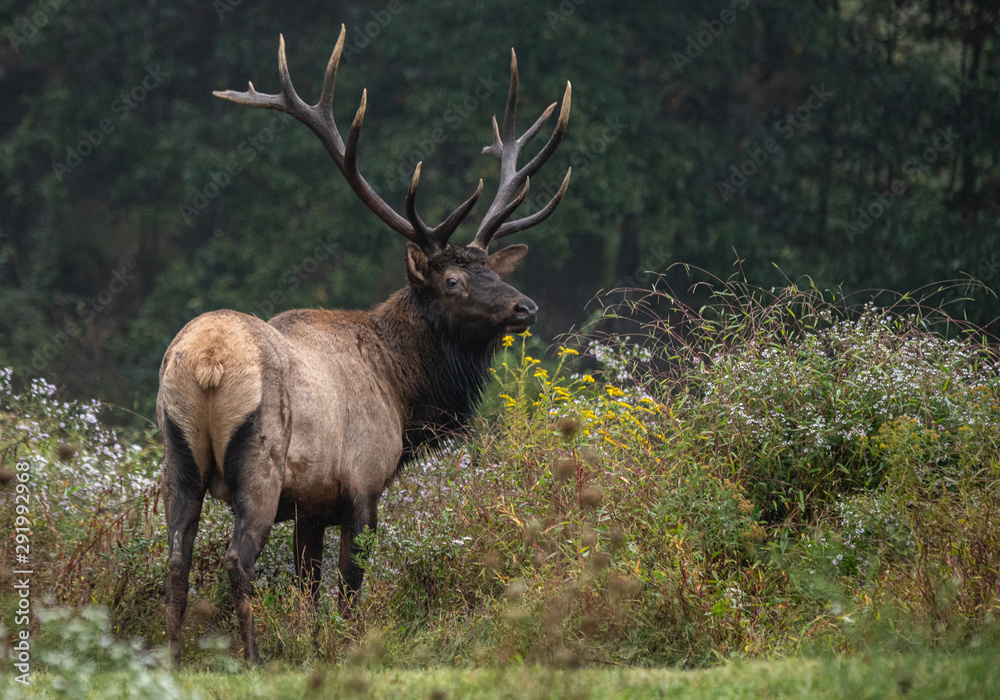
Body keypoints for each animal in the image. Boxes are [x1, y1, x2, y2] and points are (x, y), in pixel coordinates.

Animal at [157, 25, 571, 667]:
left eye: (491, 269)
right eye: (453, 280)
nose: (524, 307)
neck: (402, 394)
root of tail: (207, 362)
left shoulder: (310, 504)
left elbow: (308, 583)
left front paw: (311, 644)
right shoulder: (362, 485)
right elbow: (351, 582)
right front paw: (347, 649)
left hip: (178, 457)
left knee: (176, 560)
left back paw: (173, 658)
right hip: (259, 464)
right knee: (236, 559)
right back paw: (251, 657)